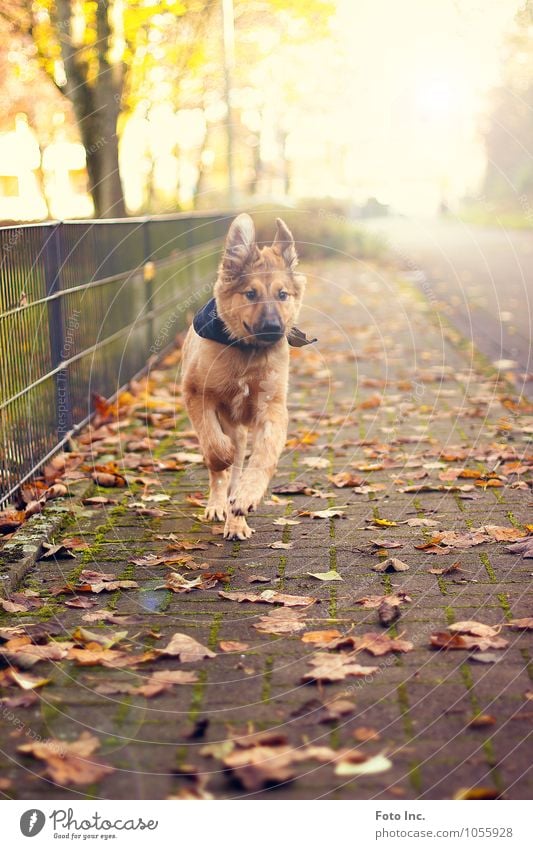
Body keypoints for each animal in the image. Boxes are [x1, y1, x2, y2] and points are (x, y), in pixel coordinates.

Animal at [181, 215, 312, 540]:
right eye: (250, 294)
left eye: (282, 295)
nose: (274, 328)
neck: (246, 353)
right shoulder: (196, 394)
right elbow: (215, 447)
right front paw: (223, 456)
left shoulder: (272, 408)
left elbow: (263, 457)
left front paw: (247, 496)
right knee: (220, 470)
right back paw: (218, 503)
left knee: (237, 473)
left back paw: (235, 519)